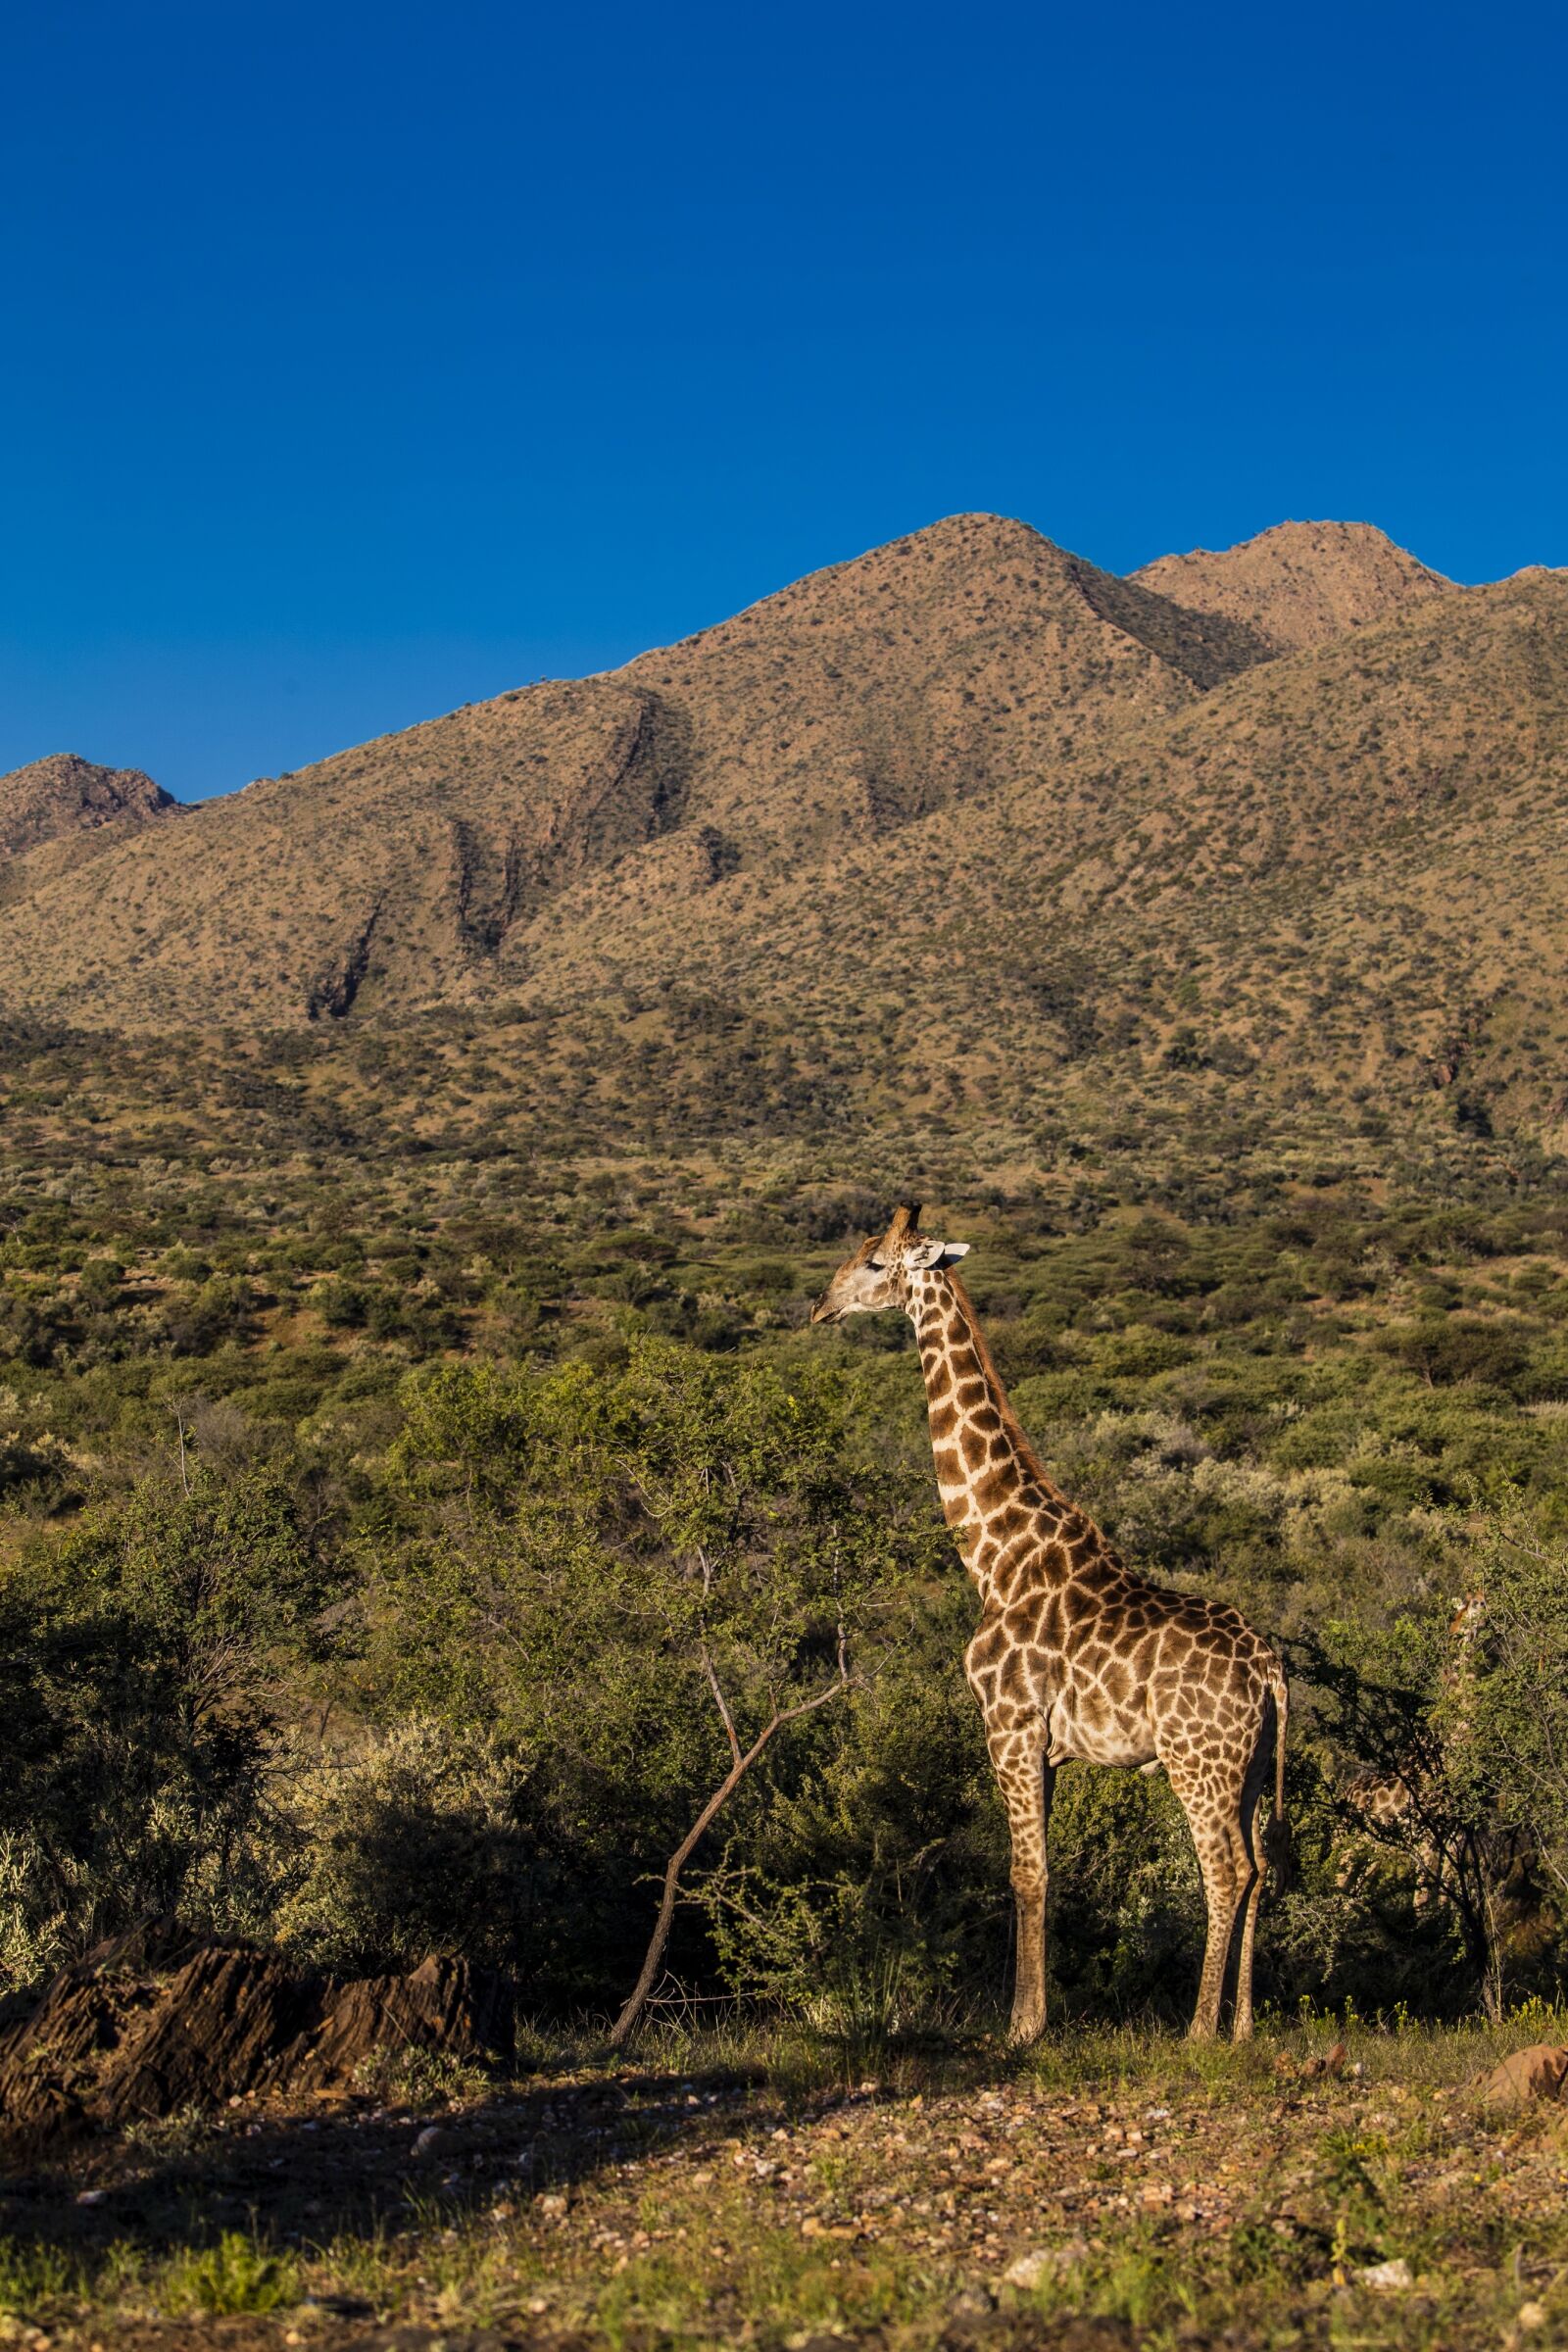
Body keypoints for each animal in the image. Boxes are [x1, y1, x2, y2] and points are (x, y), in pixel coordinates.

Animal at [808, 1213, 1288, 2041]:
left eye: (872, 1262)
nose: (822, 1306)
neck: (995, 1556)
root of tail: (1270, 1670)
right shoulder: (1049, 1747)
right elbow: (1045, 1866)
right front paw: (1033, 2016)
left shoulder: (1009, 1725)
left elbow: (1024, 1871)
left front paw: (1022, 2027)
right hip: (1250, 1767)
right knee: (1259, 1869)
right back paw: (1243, 2028)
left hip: (1197, 1760)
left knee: (1225, 1870)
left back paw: (1199, 2031)